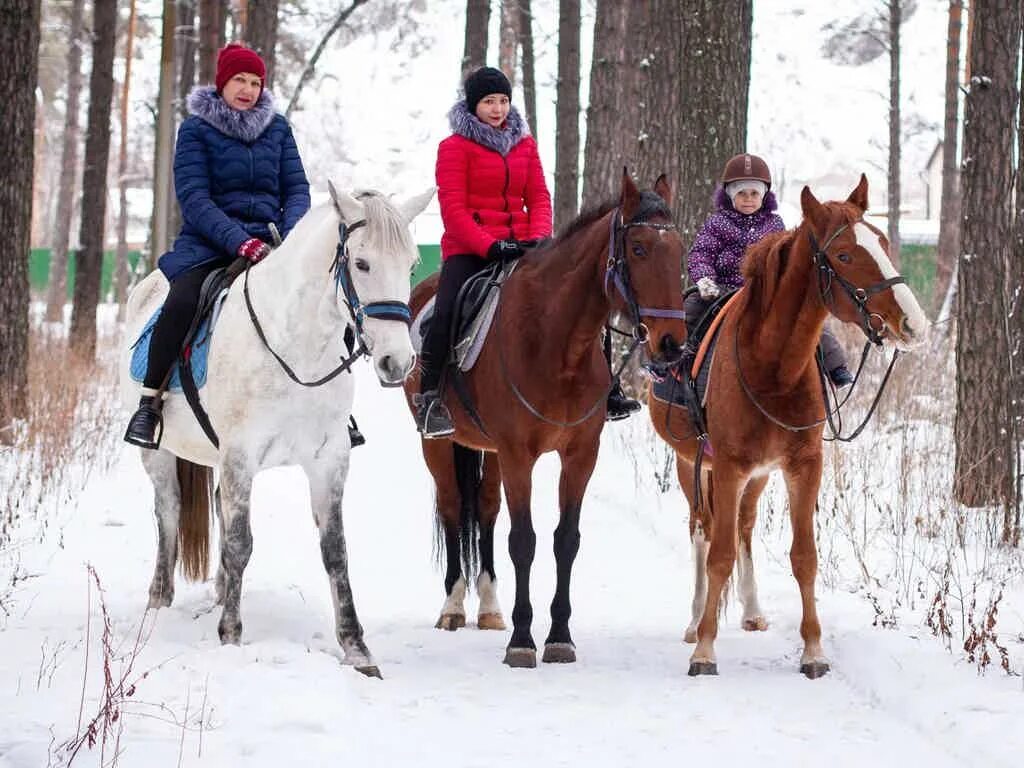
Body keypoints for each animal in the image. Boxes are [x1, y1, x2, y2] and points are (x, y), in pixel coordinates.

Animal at [119, 183, 432, 675]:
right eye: (361, 263)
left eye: (412, 265)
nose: (397, 362)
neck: (298, 347)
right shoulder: (240, 457)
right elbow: (240, 543)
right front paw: (231, 636)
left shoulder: (327, 460)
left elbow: (335, 550)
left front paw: (357, 650)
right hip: (158, 453)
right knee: (168, 512)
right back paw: (159, 602)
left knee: (216, 508)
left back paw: (219, 594)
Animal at [403, 173, 684, 667]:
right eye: (639, 249)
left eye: (680, 249)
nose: (672, 343)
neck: (558, 344)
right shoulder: (519, 455)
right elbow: (524, 541)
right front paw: (522, 640)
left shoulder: (580, 455)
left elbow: (565, 540)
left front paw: (559, 636)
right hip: (437, 443)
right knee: (454, 507)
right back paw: (454, 606)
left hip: (489, 449)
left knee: (486, 511)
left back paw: (489, 606)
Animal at [651, 176, 933, 679]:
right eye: (844, 255)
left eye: (882, 243)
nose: (913, 324)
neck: (773, 365)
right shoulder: (726, 467)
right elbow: (719, 555)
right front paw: (704, 649)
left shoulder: (803, 466)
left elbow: (804, 557)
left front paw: (813, 651)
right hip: (692, 466)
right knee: (703, 530)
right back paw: (694, 618)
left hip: (758, 476)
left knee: (742, 526)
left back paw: (750, 610)